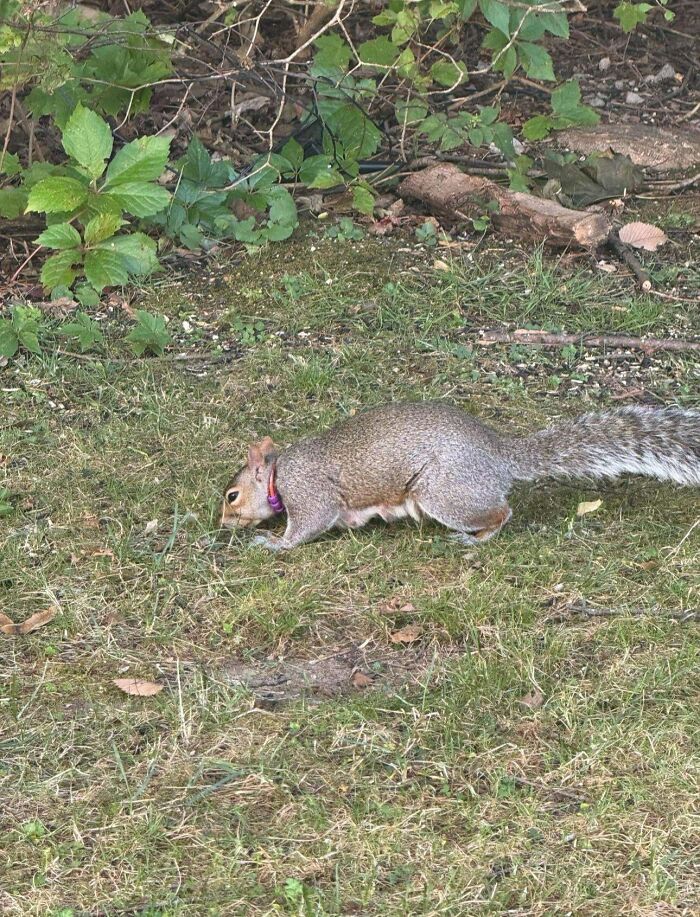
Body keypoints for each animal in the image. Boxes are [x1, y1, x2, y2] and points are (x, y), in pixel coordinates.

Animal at [220, 401, 700, 552]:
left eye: (231, 496)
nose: (223, 525)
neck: (277, 477)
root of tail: (499, 455)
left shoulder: (310, 493)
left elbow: (308, 526)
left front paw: (274, 543)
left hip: (444, 491)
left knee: (501, 512)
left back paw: (475, 539)